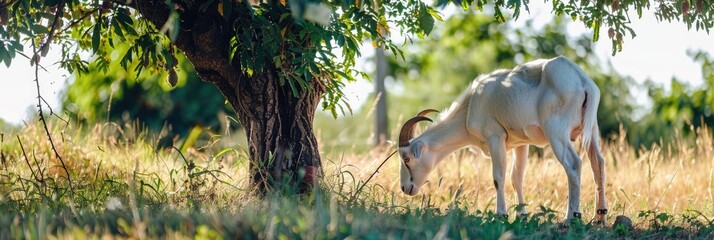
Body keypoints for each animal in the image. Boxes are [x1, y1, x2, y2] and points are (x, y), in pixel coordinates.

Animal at [394, 56, 608, 223]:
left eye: (406, 158)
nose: (405, 188)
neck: (470, 106)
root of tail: (582, 81)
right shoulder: (521, 144)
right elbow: (516, 178)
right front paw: (522, 216)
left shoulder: (494, 137)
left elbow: (498, 177)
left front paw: (501, 215)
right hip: (591, 130)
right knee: (598, 163)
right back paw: (599, 217)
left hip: (557, 132)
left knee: (574, 164)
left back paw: (571, 217)